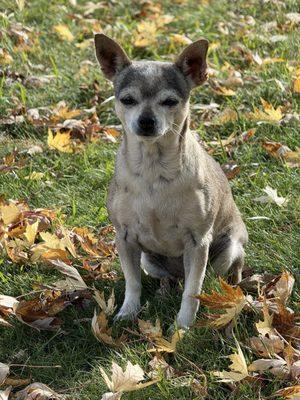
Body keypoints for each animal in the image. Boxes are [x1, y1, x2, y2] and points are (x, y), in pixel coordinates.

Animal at [94, 33, 248, 328]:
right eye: (127, 100)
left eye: (169, 101)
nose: (146, 121)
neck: (154, 169)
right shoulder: (125, 238)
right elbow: (133, 282)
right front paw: (128, 312)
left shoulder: (198, 242)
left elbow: (193, 290)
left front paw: (183, 325)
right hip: (149, 260)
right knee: (169, 279)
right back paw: (165, 289)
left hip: (228, 249)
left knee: (211, 277)